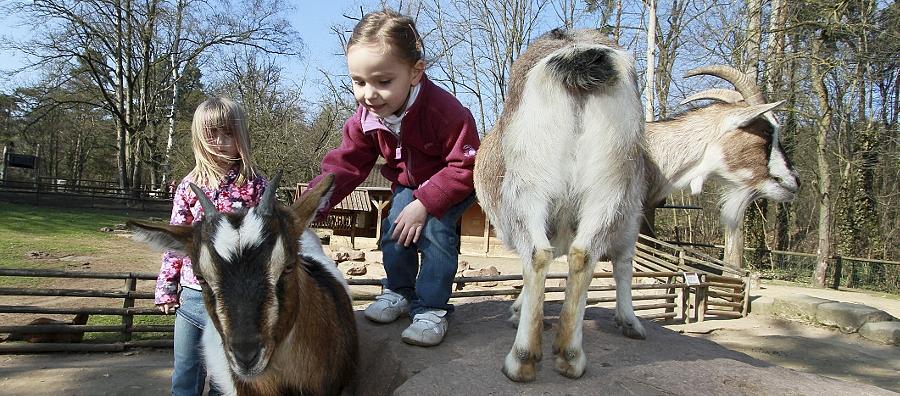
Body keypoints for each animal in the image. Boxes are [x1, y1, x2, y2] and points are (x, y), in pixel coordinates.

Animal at [472, 29, 648, 382]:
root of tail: (576, 55)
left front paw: (517, 311)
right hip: (610, 185)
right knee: (584, 254)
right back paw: (570, 354)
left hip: (529, 184)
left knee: (539, 254)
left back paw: (522, 359)